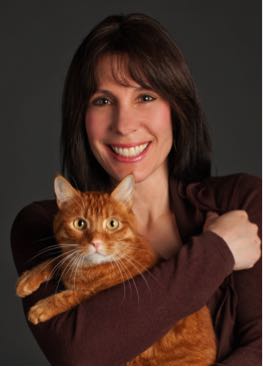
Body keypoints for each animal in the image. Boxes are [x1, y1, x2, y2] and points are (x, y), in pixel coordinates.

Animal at [17, 175, 219, 366]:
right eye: (80, 224)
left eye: (112, 224)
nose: (95, 243)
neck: (86, 267)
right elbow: (57, 259)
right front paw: (29, 278)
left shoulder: (99, 292)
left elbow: (72, 294)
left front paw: (42, 307)